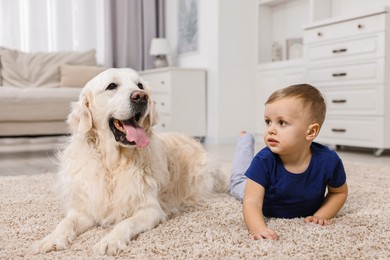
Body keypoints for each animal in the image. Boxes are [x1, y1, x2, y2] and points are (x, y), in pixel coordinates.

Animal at [32, 68, 232, 255]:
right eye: (111, 86)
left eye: (140, 85)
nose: (141, 97)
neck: (113, 163)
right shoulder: (86, 208)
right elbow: (66, 223)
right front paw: (52, 238)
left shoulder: (150, 209)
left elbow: (126, 223)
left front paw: (110, 241)